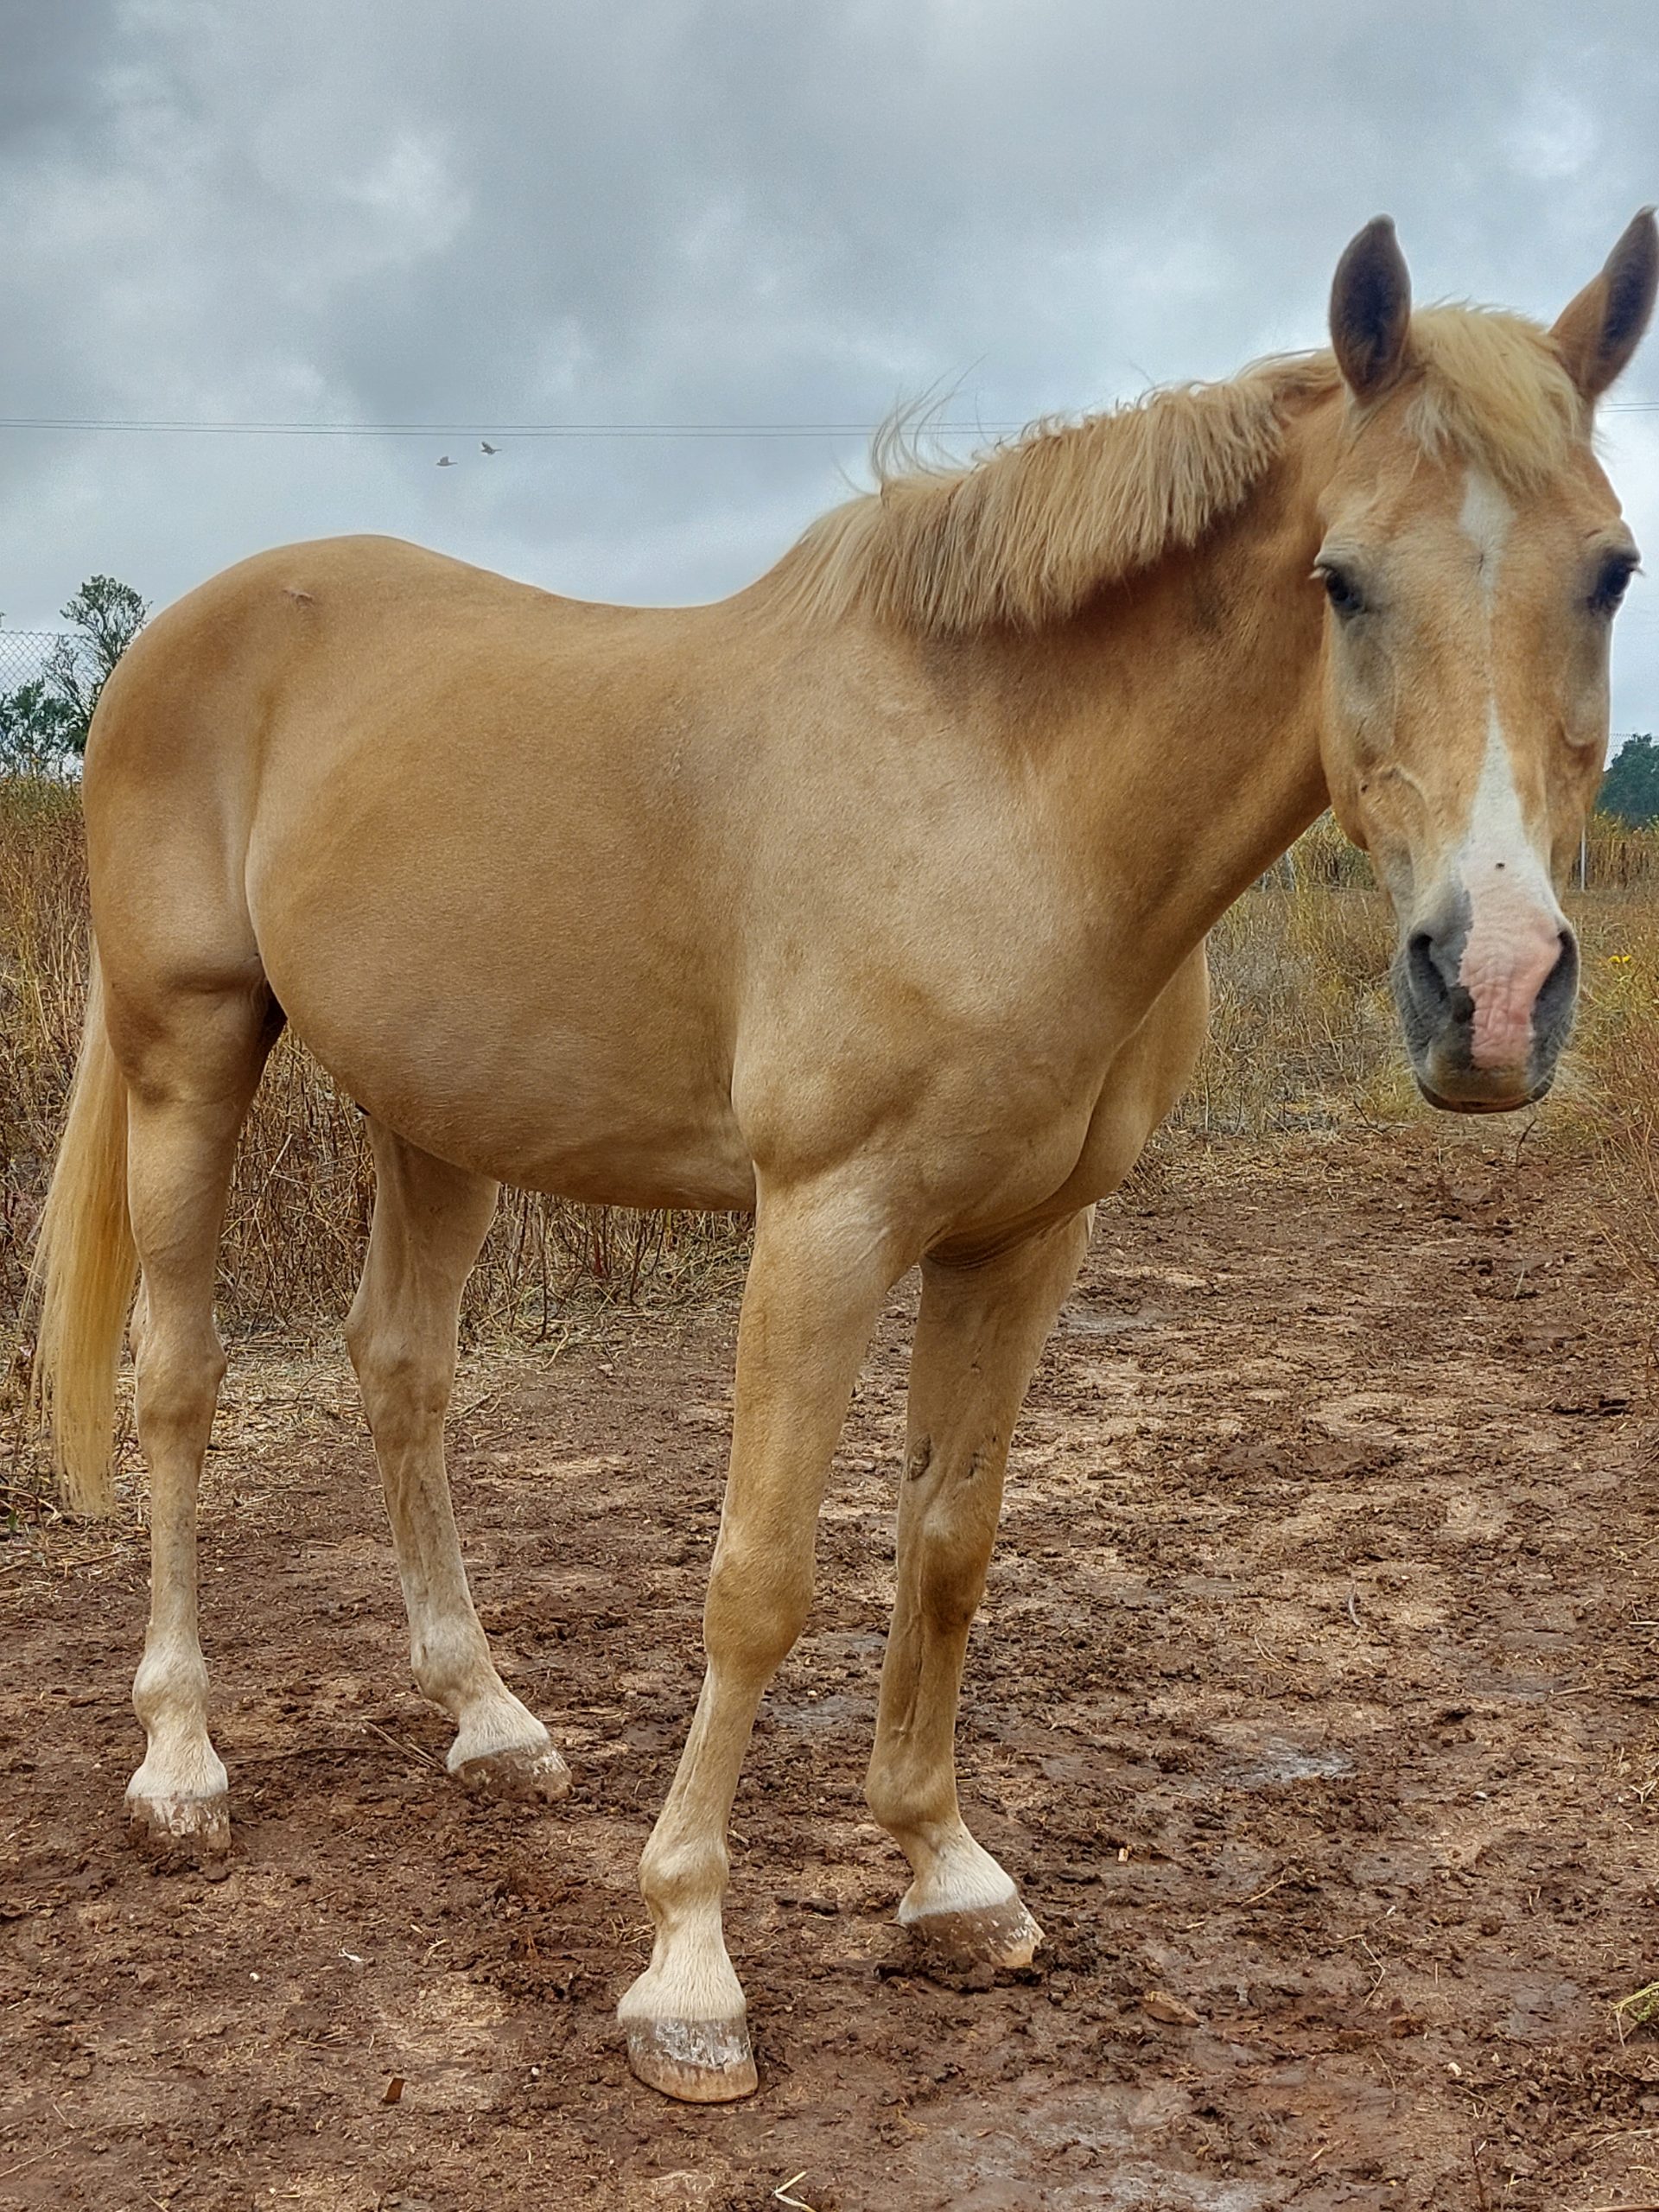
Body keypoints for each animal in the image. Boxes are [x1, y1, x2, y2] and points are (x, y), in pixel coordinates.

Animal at [30, 212, 1655, 2102]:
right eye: (1342, 579)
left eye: (1611, 570)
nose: (1496, 991)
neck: (1006, 795)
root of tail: (183, 631)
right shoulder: (824, 1222)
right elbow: (759, 1577)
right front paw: (687, 1967)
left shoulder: (1026, 1238)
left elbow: (949, 1543)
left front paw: (948, 1874)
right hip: (189, 1054)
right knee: (179, 1383)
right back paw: (180, 1762)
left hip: (434, 1111)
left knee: (401, 1375)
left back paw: (490, 1720)